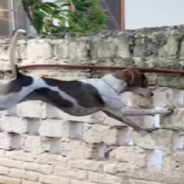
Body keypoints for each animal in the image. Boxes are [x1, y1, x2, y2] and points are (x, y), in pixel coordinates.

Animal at [0, 28, 172, 132]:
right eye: (144, 83)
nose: (151, 94)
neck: (112, 85)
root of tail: (20, 75)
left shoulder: (115, 114)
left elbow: (135, 125)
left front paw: (147, 129)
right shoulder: (121, 110)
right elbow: (148, 111)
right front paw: (164, 111)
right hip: (6, 101)